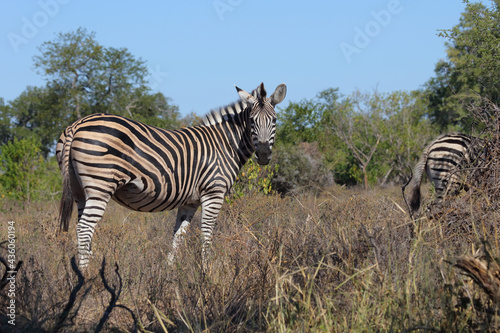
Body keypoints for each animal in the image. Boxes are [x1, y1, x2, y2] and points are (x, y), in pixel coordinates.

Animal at [55, 83, 288, 268]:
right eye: (252, 121)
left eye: (275, 120)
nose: (264, 154)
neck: (225, 144)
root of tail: (77, 124)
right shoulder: (214, 192)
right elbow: (206, 234)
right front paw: (207, 272)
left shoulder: (190, 202)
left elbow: (178, 236)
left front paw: (169, 272)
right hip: (100, 186)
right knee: (85, 228)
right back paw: (86, 274)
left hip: (80, 191)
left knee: (81, 228)